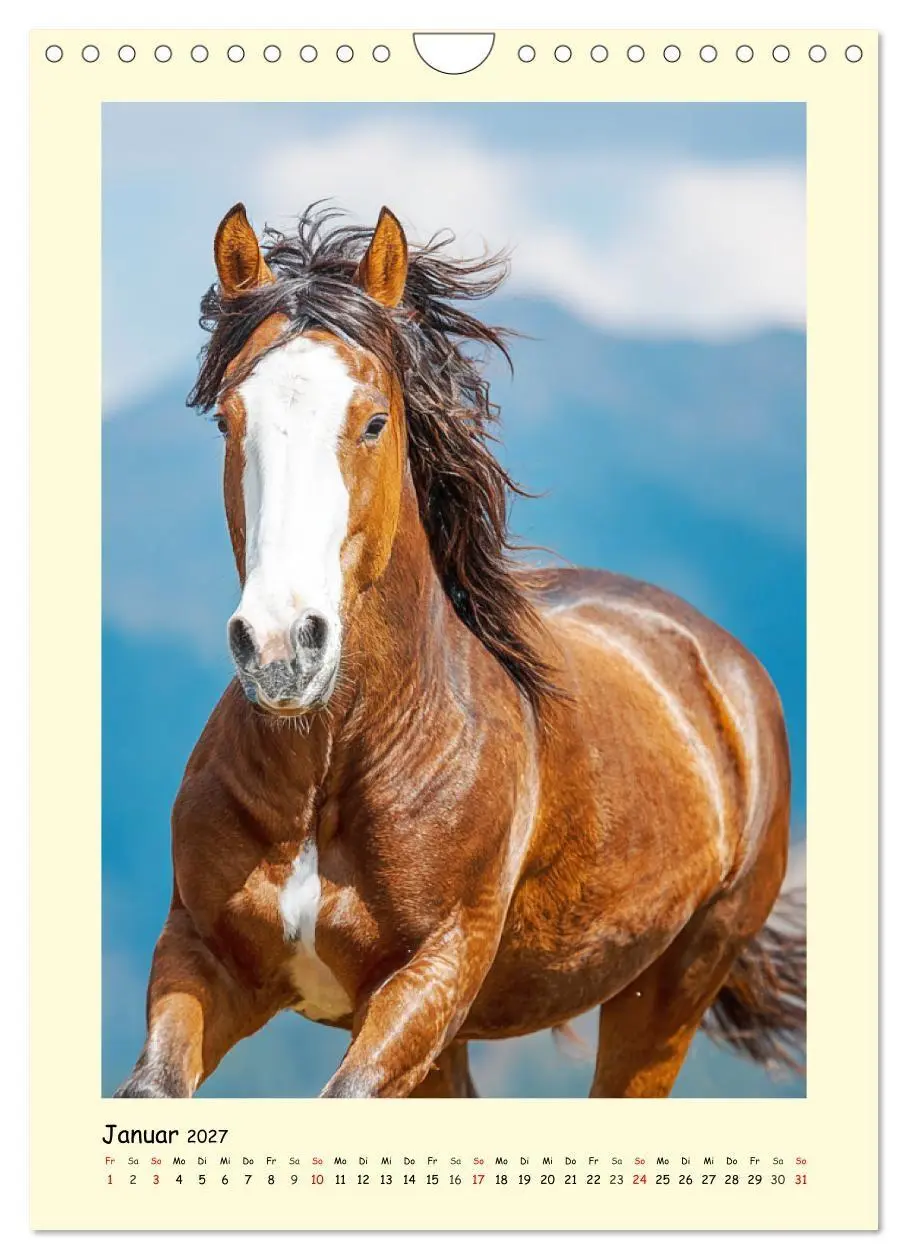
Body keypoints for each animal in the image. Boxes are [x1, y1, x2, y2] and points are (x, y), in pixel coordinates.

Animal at [115, 202, 805, 1100]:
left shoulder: (431, 975)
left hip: (673, 984)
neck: (330, 768)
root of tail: (719, 661)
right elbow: (153, 1089)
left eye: (374, 421)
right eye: (229, 420)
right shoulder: (202, 956)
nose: (280, 647)